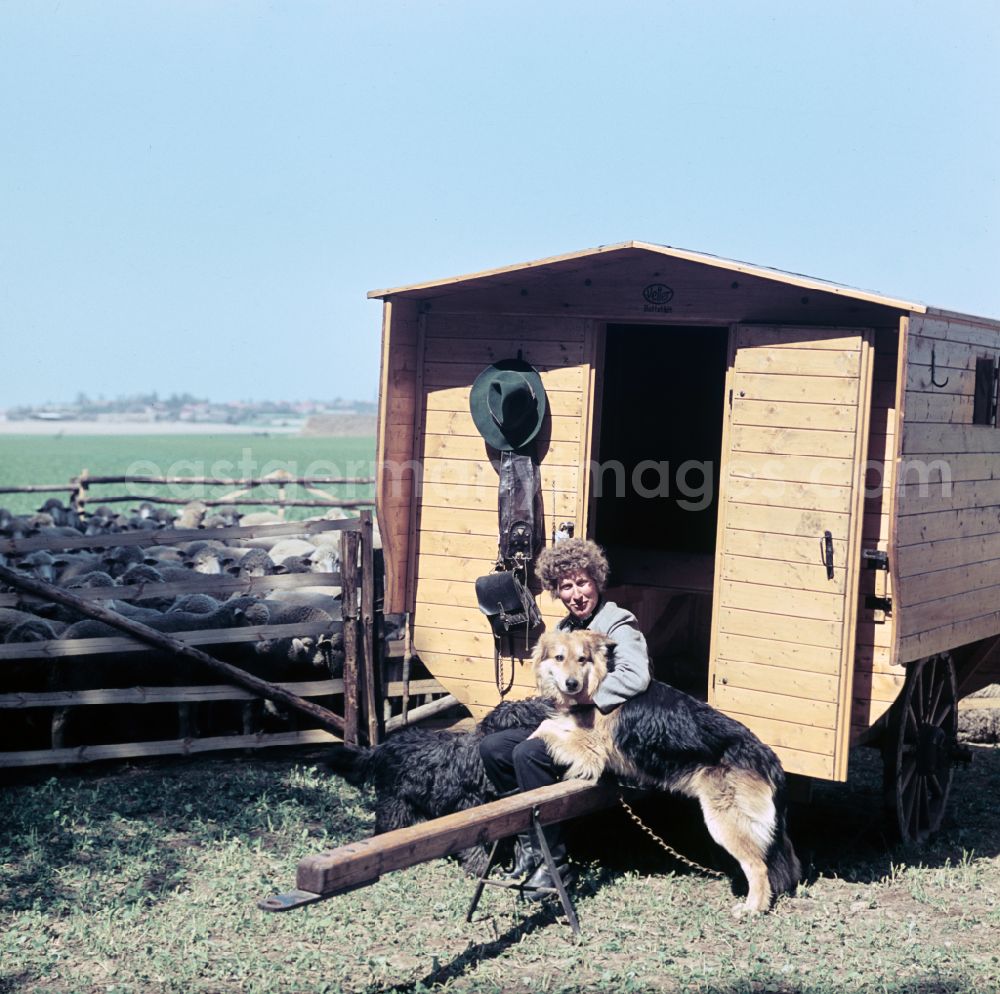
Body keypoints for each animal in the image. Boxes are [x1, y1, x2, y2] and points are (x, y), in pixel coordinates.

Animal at [532, 632, 796, 912]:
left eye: (582, 659)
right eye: (559, 657)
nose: (571, 684)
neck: (596, 684)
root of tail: (766, 756)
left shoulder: (591, 751)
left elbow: (544, 726)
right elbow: (551, 722)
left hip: (725, 821)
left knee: (758, 867)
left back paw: (752, 908)